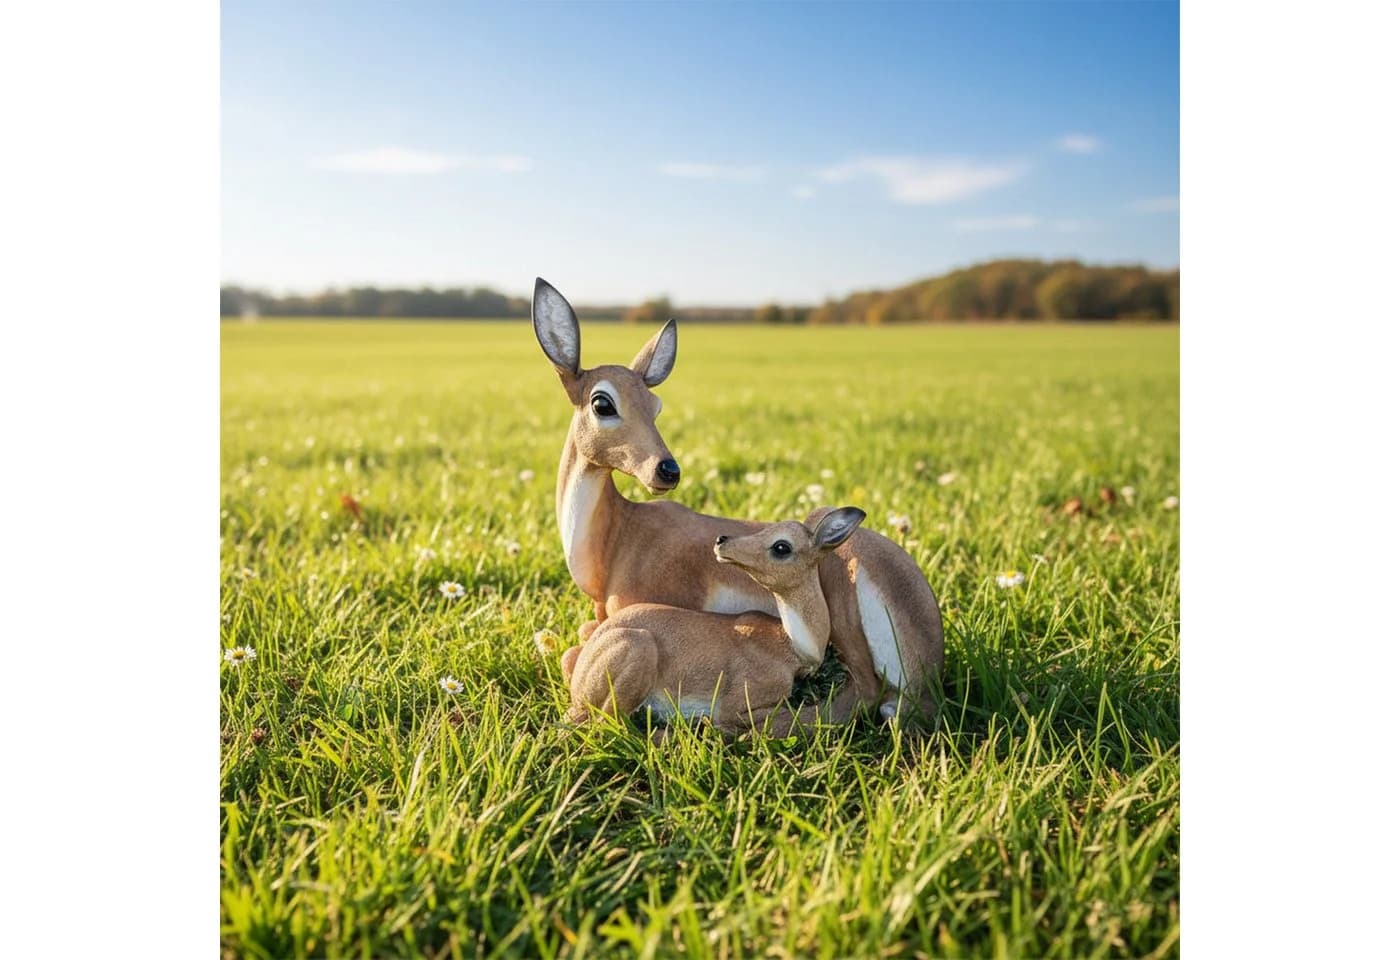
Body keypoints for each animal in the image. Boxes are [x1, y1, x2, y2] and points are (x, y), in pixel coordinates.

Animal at [561, 508, 867, 735]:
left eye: (782, 546)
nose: (722, 540)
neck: (790, 647)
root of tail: (578, 690)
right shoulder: (733, 705)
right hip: (638, 652)